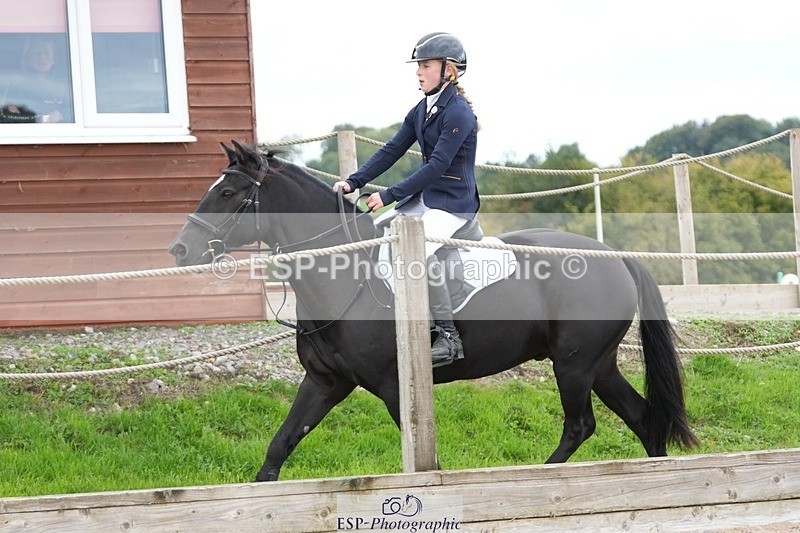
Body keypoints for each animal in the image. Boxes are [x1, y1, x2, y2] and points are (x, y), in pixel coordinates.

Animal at [169, 141, 698, 481]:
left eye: (229, 193)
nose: (179, 250)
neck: (346, 273)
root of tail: (615, 256)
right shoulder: (325, 382)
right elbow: (279, 446)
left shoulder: (393, 386)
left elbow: (428, 462)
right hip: (597, 364)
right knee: (642, 418)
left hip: (574, 364)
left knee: (580, 425)